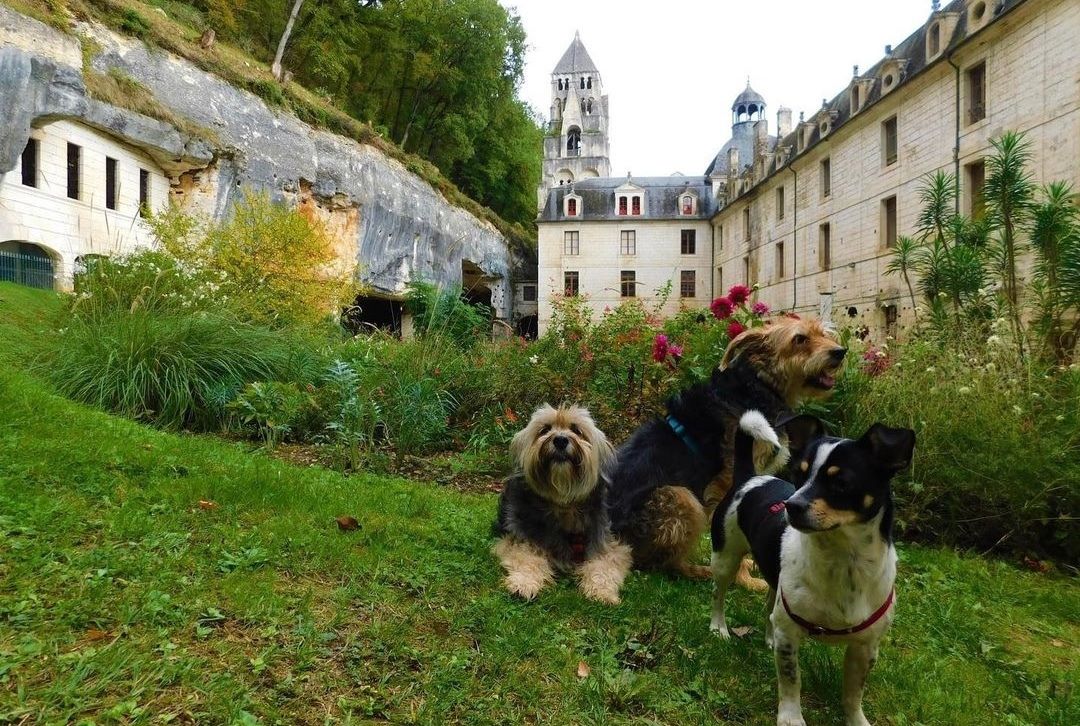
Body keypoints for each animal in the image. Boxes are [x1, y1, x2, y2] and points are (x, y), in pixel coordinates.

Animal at [712, 410, 915, 726]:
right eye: (799, 474)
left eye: (841, 482)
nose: (790, 505)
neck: (843, 561)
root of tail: (750, 478)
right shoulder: (790, 637)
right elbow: (791, 680)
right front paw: (791, 717)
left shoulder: (865, 647)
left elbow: (854, 693)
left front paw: (856, 720)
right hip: (725, 557)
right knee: (719, 594)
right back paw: (719, 628)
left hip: (774, 581)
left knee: (770, 609)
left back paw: (768, 638)